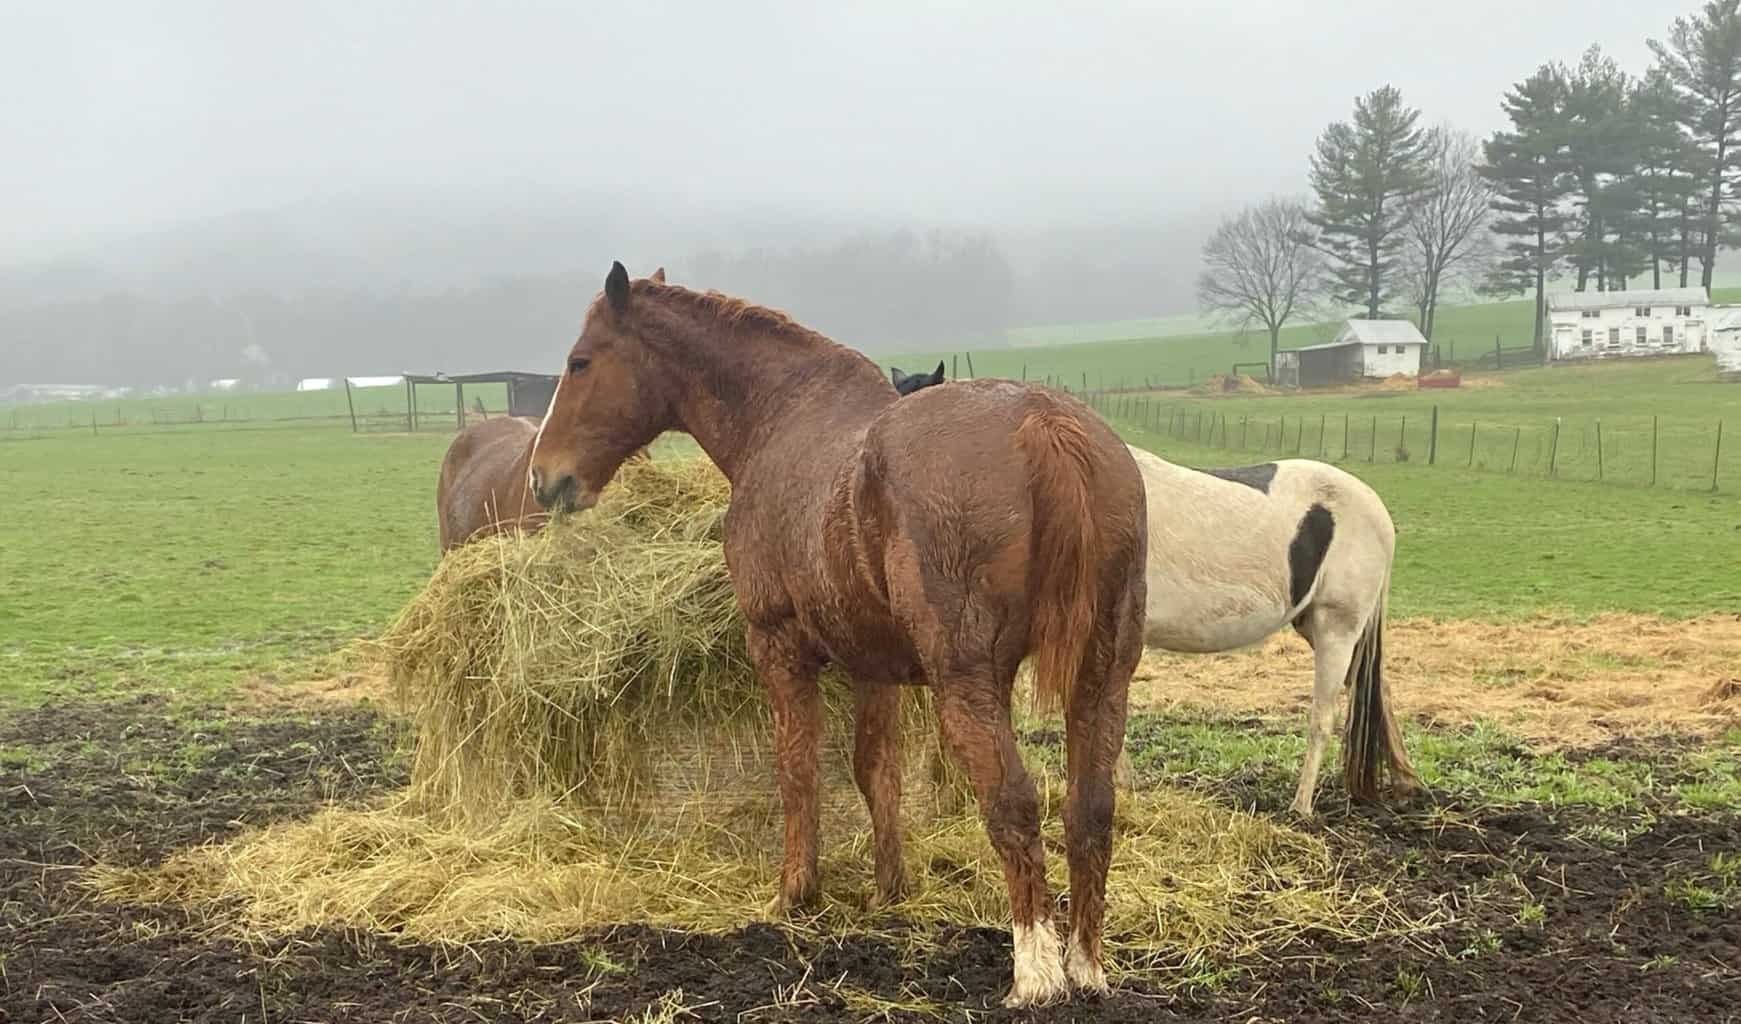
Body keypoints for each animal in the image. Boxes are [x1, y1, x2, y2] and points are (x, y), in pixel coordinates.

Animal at [529, 264, 1156, 1010]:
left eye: (580, 362)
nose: (545, 478)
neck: (782, 417)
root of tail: (1041, 423)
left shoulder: (778, 646)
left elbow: (797, 769)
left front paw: (795, 891)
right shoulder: (874, 667)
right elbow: (875, 771)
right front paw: (891, 889)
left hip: (966, 683)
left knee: (1014, 803)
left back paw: (1036, 973)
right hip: (1101, 676)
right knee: (1090, 809)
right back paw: (1085, 964)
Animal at [898, 372, 1413, 811]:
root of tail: (1376, 507)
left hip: (1336, 626)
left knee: (1324, 715)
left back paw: (1302, 805)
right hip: (1319, 624)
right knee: (1372, 690)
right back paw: (1398, 779)